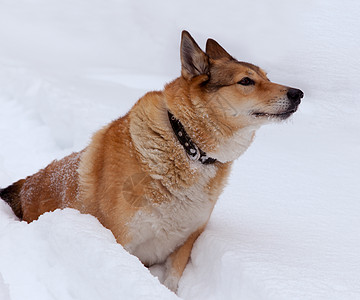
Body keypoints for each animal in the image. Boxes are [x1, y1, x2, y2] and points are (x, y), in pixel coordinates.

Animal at [0, 31, 304, 292]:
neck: (187, 146)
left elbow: (172, 279)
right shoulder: (120, 238)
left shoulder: (185, 241)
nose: (298, 93)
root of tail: (22, 188)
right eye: (246, 81)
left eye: (267, 76)